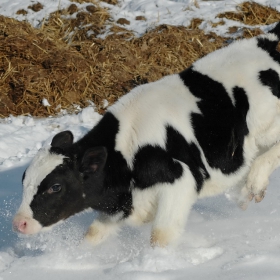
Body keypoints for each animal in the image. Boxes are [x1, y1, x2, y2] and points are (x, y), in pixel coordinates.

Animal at [13, 23, 280, 247]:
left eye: (55, 187)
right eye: (23, 179)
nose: (19, 223)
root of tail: (268, 41)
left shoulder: (181, 180)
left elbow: (161, 236)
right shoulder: (122, 204)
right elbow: (92, 235)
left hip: (267, 125)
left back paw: (254, 184)